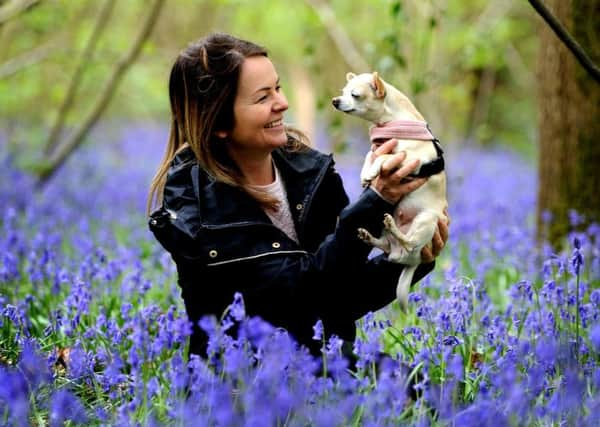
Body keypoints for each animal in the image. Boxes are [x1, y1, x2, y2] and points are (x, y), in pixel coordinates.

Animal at [332, 70, 446, 310]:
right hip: (390, 237)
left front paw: (372, 171)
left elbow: (384, 156)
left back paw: (394, 228)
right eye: (342, 92)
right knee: (387, 246)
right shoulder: (380, 148)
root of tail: (412, 260)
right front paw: (366, 174)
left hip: (426, 221)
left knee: (410, 242)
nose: (335, 101)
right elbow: (372, 154)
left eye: (354, 95)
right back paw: (370, 236)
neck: (393, 122)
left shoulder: (410, 159)